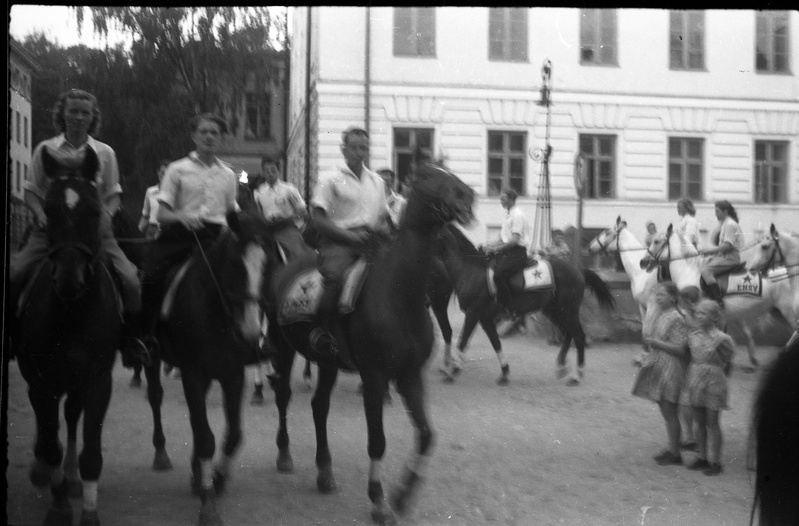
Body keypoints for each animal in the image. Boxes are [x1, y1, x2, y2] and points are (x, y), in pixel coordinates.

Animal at [262, 163, 476, 524]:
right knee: (283, 395)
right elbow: (377, 441)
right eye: (431, 178)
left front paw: (403, 495)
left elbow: (426, 435)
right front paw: (378, 500)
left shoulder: (409, 375)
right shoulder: (375, 377)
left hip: (328, 362)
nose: (468, 196)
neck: (400, 295)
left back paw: (325, 472)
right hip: (283, 347)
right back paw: (284, 453)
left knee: (319, 406)